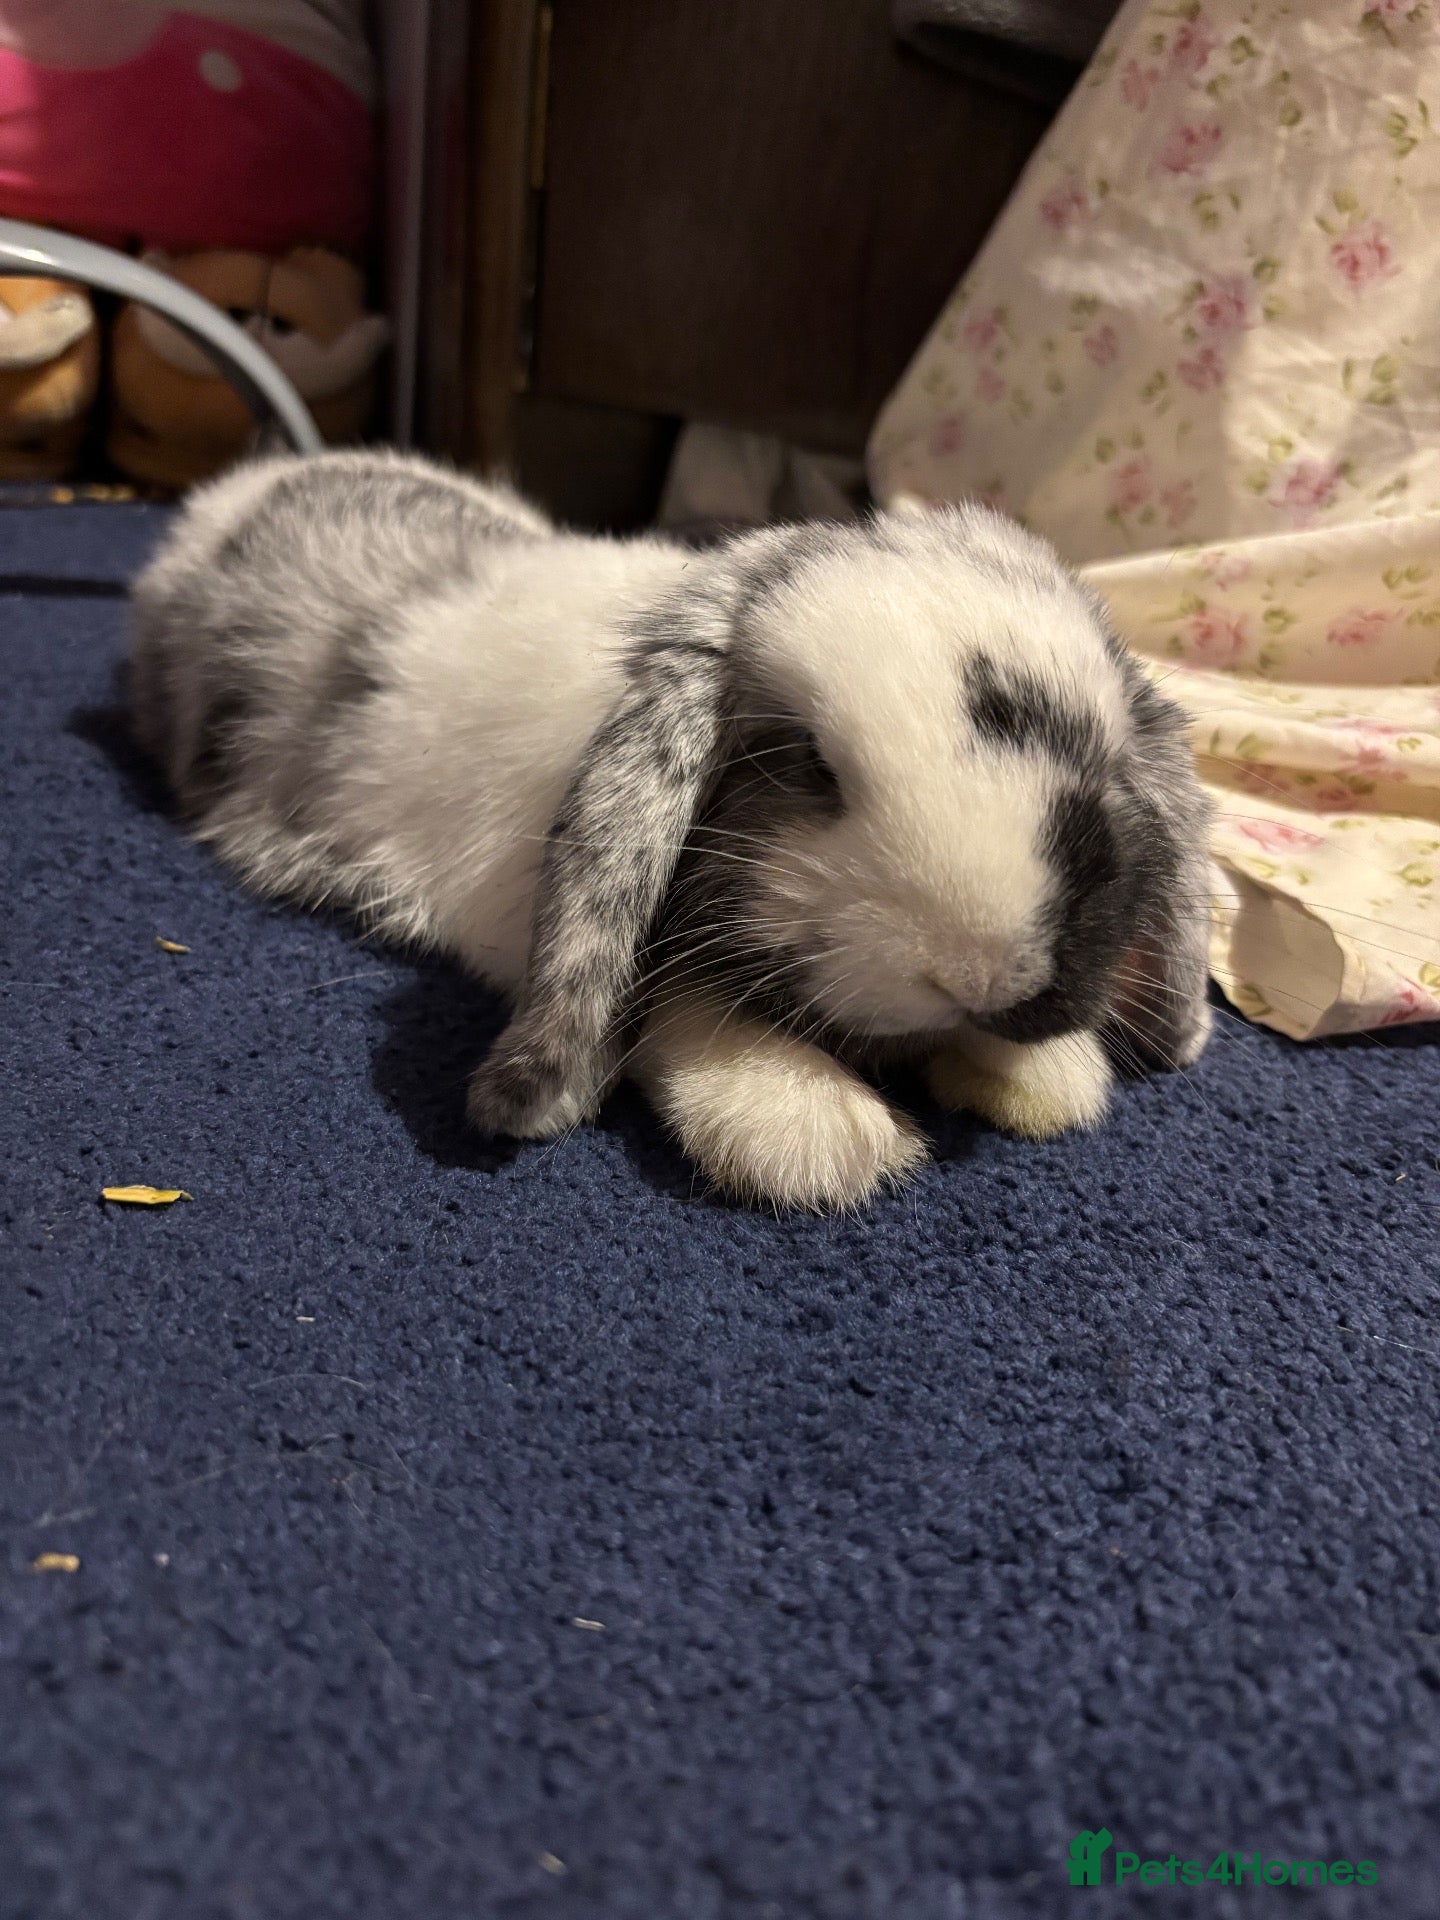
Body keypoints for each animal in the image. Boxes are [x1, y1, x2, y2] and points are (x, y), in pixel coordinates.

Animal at [130, 447, 1213, 1210]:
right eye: (807, 764)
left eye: (1102, 770)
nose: (985, 979)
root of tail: (240, 492)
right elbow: (683, 1012)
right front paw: (815, 1130)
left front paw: (1041, 1083)